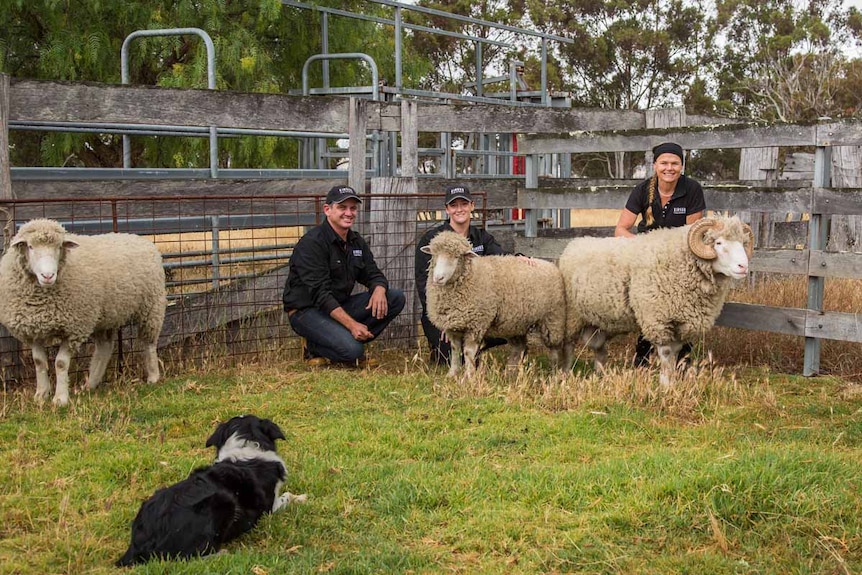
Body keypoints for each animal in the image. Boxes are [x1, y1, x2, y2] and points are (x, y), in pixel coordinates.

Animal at [0, 218, 168, 408]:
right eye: (30, 246)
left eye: (59, 247)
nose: (48, 276)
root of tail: (140, 239)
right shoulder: (32, 330)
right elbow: (39, 362)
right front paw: (41, 394)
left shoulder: (74, 328)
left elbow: (60, 363)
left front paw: (60, 398)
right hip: (104, 316)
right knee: (104, 348)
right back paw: (90, 385)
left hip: (151, 306)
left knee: (149, 343)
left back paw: (153, 376)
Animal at [418, 230, 568, 378]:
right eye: (434, 254)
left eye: (457, 256)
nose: (438, 278)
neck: (470, 275)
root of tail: (550, 264)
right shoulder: (452, 325)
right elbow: (454, 350)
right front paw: (452, 374)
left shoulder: (476, 324)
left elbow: (468, 352)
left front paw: (468, 377)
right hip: (515, 321)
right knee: (519, 346)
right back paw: (510, 372)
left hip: (552, 318)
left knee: (555, 348)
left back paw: (556, 373)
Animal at [564, 216, 752, 388]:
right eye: (718, 243)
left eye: (743, 243)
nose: (743, 267)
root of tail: (575, 242)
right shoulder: (658, 320)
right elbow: (667, 353)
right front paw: (665, 385)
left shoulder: (680, 323)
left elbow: (676, 353)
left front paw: (671, 383)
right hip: (572, 316)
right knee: (569, 345)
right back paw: (565, 373)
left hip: (598, 320)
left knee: (599, 348)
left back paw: (601, 376)